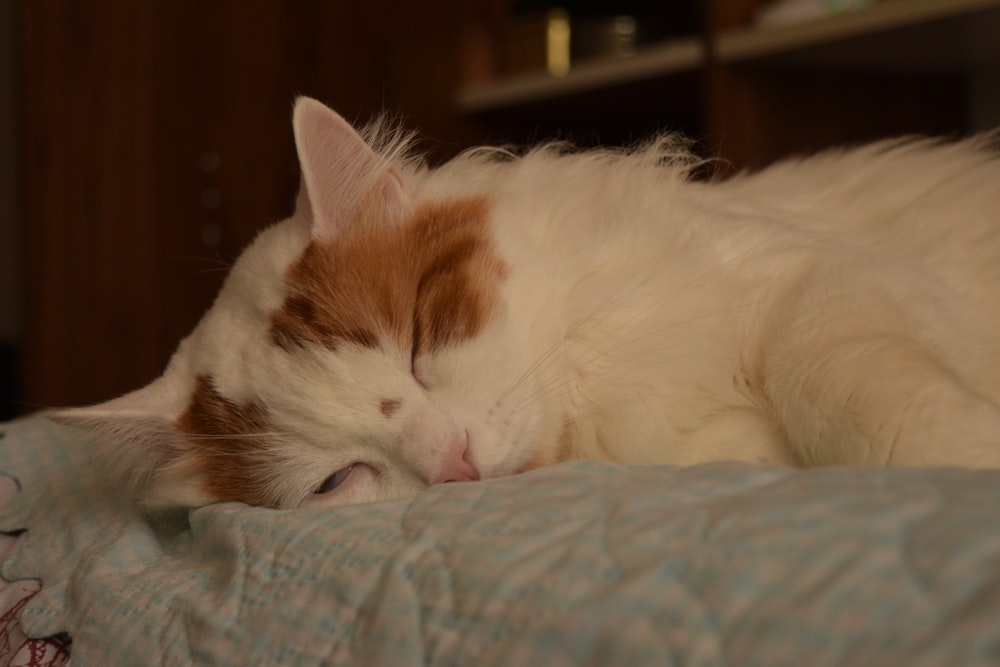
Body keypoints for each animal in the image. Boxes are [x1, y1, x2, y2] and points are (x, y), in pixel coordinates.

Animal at [54, 96, 1000, 508]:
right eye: (338, 480)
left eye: (420, 343)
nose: (456, 463)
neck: (592, 407)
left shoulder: (811, 282)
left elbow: (859, 397)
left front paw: (967, 457)